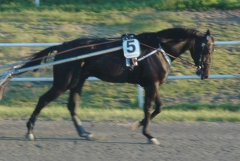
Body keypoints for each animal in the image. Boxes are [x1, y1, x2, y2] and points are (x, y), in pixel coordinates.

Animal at [0, 27, 214, 145]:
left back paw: (84, 133)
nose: (205, 74)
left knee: (72, 105)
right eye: (207, 48)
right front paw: (148, 134)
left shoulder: (150, 84)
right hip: (64, 82)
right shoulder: (151, 84)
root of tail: (63, 46)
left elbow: (159, 108)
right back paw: (30, 131)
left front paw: (138, 125)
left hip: (78, 81)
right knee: (43, 100)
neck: (158, 49)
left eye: (212, 49)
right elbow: (148, 108)